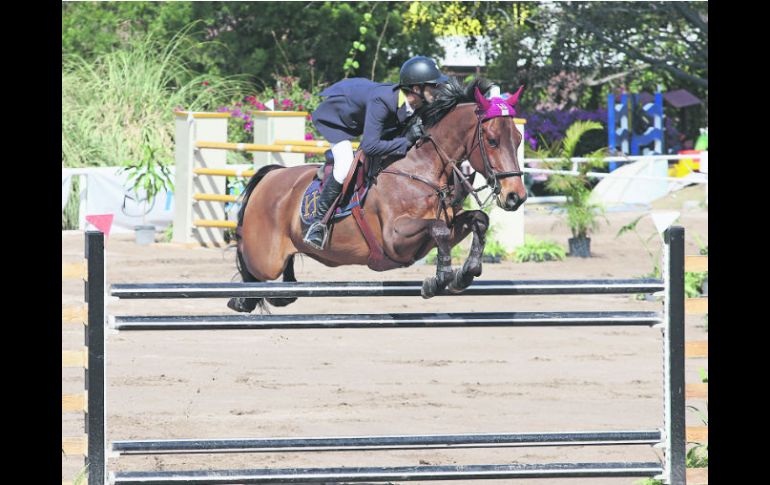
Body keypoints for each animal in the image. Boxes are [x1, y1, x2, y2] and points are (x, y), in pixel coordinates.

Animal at [228, 78, 524, 314]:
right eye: (492, 140)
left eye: (519, 139)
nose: (516, 197)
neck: (421, 168)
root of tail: (271, 175)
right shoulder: (395, 239)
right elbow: (438, 228)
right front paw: (438, 280)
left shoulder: (440, 232)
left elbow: (478, 220)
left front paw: (465, 273)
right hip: (266, 259)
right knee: (247, 259)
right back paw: (241, 299)